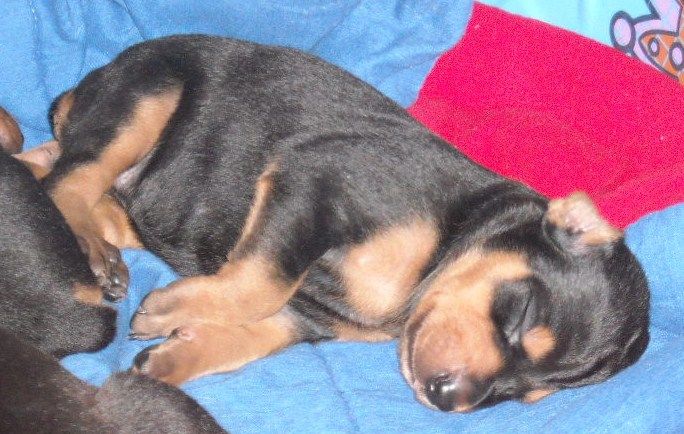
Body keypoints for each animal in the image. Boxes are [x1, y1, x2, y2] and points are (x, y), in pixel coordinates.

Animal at [44, 35, 652, 412]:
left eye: (525, 395)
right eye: (521, 317)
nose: (447, 399)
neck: (444, 245)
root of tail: (84, 87)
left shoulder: (311, 314)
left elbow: (256, 330)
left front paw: (174, 353)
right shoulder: (318, 184)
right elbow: (262, 282)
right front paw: (170, 310)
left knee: (56, 168)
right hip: (147, 96)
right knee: (68, 180)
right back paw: (89, 250)